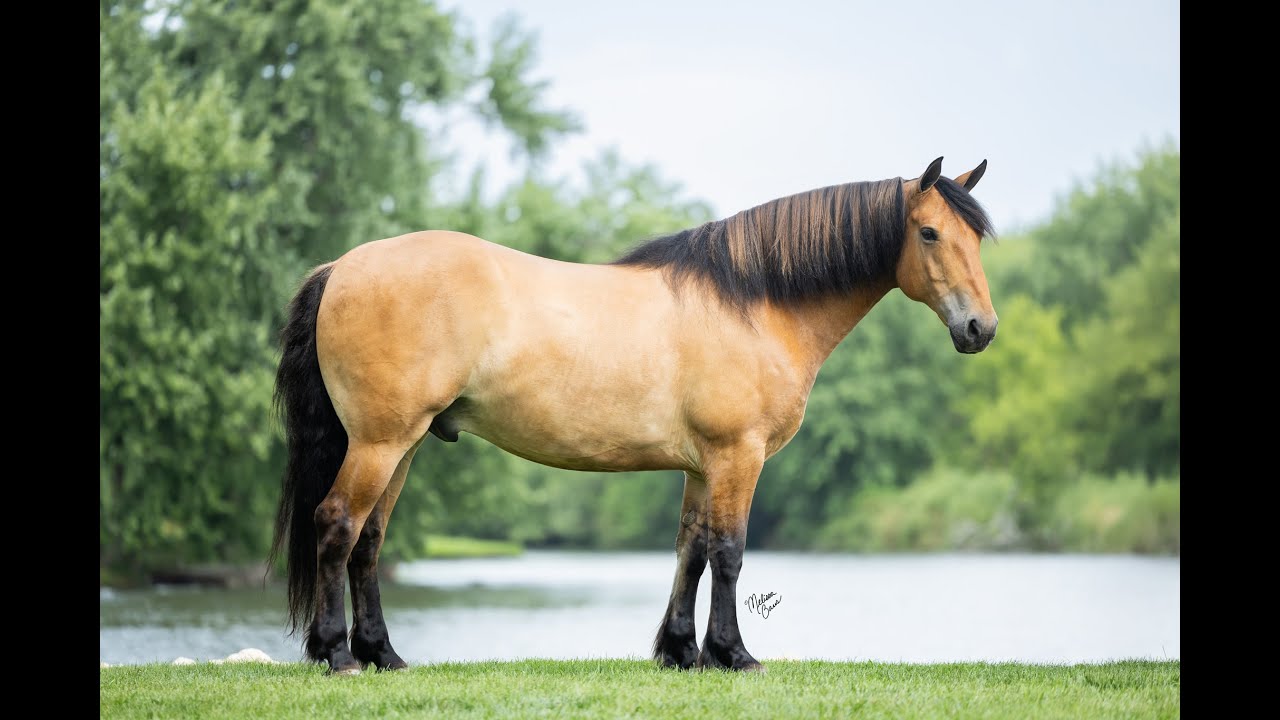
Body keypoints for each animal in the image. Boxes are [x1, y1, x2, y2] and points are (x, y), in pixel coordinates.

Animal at [270, 156, 997, 674]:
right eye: (929, 232)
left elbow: (691, 550)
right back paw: (338, 655)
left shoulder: (704, 466)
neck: (753, 301)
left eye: (976, 238)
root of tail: (343, 267)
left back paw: (383, 655)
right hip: (380, 441)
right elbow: (729, 552)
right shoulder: (738, 455)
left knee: (368, 539)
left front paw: (682, 652)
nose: (980, 328)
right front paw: (734, 655)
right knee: (337, 525)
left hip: (402, 443)